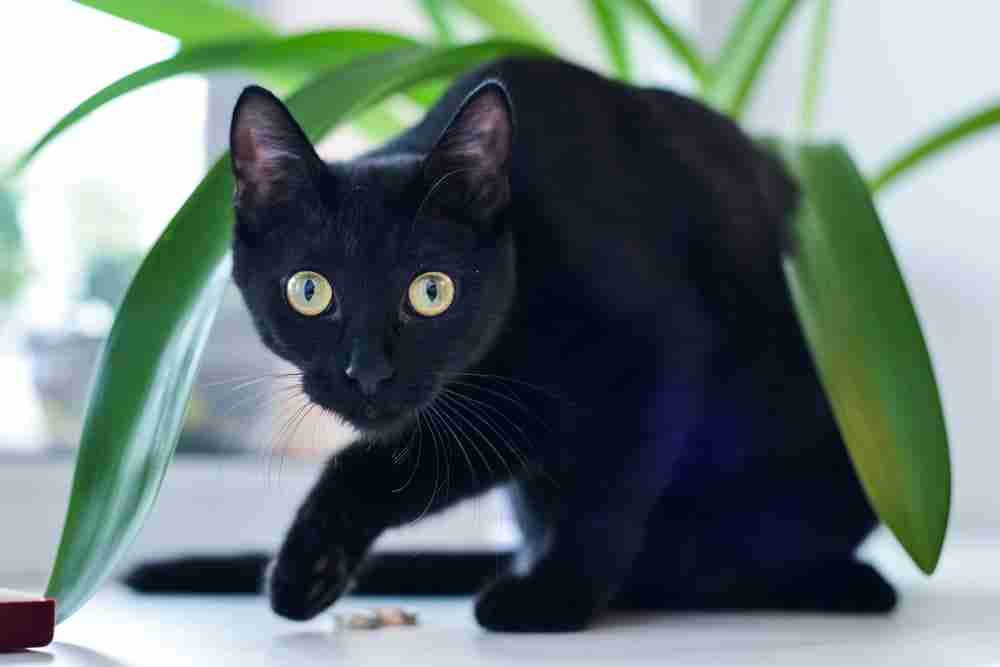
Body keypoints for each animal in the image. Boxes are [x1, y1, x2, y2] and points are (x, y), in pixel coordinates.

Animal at [129, 56, 896, 632]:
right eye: (309, 290)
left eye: (431, 291)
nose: (367, 372)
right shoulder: (497, 403)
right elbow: (385, 466)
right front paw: (306, 569)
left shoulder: (655, 355)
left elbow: (608, 495)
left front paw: (555, 598)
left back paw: (833, 582)